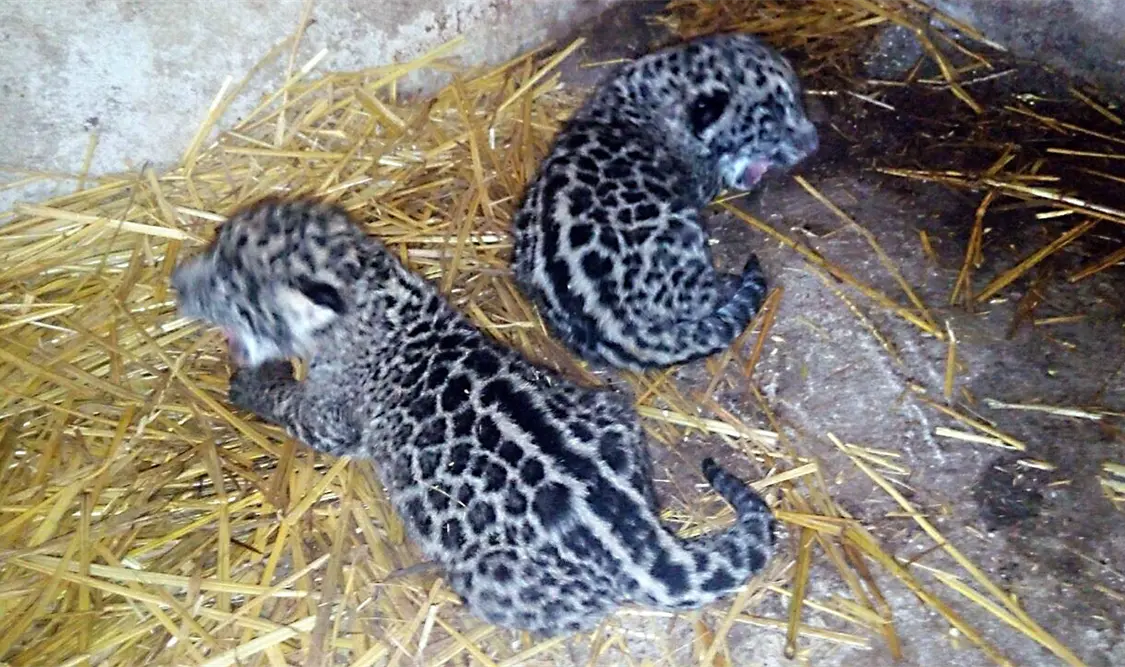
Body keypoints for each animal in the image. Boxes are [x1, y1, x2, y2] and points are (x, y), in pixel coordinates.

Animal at [171, 198, 775, 636]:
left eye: (234, 292)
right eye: (216, 244)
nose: (178, 282)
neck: (372, 289)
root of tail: (638, 535)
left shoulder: (334, 419)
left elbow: (291, 405)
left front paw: (253, 382)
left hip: (498, 575)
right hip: (610, 410)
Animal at [512, 32, 819, 371]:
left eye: (797, 102)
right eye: (769, 126)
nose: (813, 142)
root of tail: (616, 325)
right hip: (683, 232)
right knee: (707, 298)